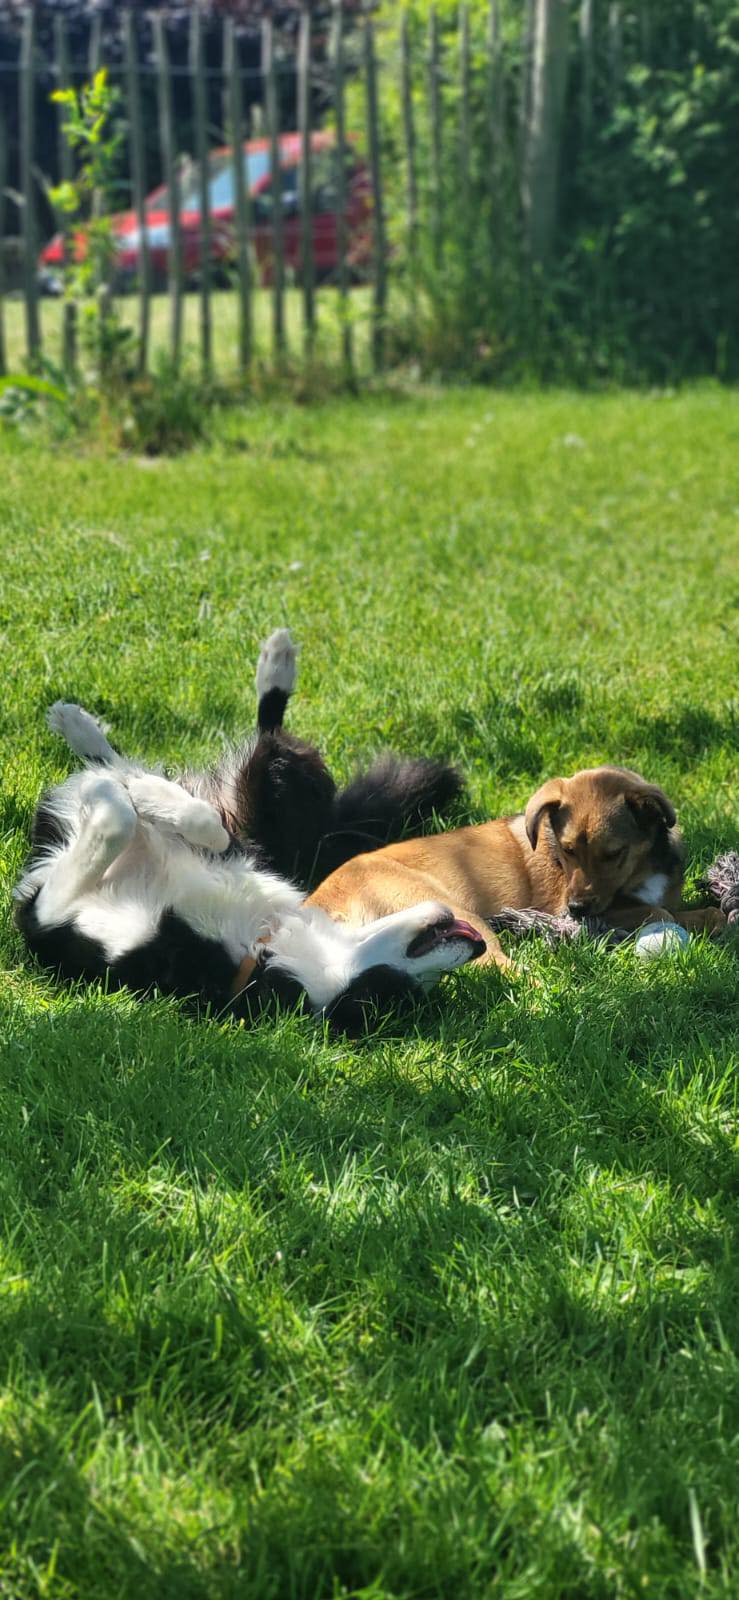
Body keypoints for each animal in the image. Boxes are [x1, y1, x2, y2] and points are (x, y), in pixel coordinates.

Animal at [14, 630, 486, 1030]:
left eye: (393, 993)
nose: (477, 945)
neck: (257, 947)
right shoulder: (239, 856)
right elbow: (207, 825)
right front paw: (146, 794)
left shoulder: (48, 917)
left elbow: (115, 821)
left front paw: (115, 794)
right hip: (277, 807)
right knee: (264, 741)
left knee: (265, 747)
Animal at [307, 764, 726, 972]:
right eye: (568, 851)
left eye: (613, 854)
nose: (576, 911)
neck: (641, 869)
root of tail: (315, 907)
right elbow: (659, 912)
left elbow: (679, 908)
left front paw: (708, 916)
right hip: (457, 916)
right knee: (495, 967)